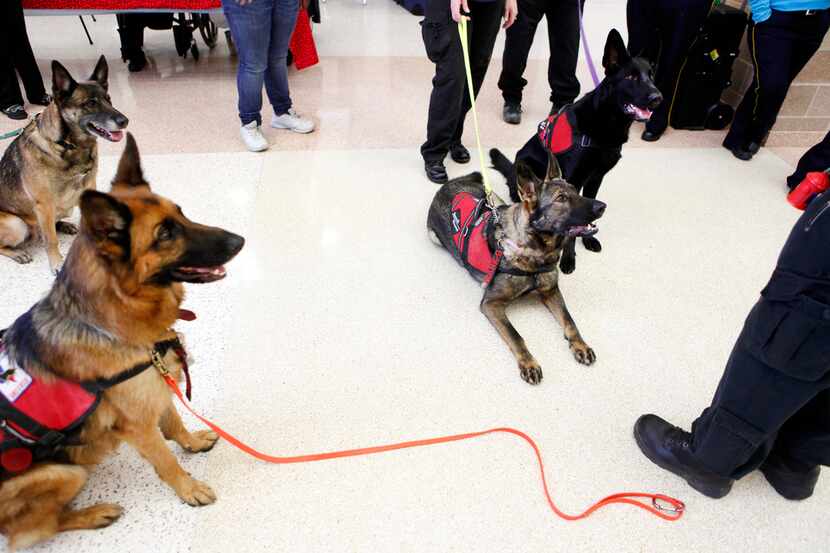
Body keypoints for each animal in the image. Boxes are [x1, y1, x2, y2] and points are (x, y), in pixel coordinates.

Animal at [0, 55, 128, 272]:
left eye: (109, 100)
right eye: (91, 103)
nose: (125, 121)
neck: (67, 145)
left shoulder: (87, 188)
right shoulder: (43, 204)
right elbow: (51, 240)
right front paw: (57, 262)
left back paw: (64, 225)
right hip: (16, 224)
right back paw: (18, 253)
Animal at [0, 135, 244, 552]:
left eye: (181, 214)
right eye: (165, 234)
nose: (240, 240)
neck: (112, 318)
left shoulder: (156, 386)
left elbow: (174, 423)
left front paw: (192, 442)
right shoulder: (137, 426)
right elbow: (165, 460)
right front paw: (189, 489)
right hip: (63, 472)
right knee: (35, 528)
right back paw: (94, 513)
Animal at [428, 151, 604, 384]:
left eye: (577, 191)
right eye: (561, 198)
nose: (602, 206)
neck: (535, 253)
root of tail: (451, 183)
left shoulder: (551, 291)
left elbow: (570, 321)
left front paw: (580, 345)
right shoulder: (491, 304)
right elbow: (516, 336)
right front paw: (529, 363)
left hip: (497, 200)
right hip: (435, 236)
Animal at [494, 28, 664, 274]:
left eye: (651, 77)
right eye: (631, 77)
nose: (658, 98)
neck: (606, 123)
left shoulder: (596, 178)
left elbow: (588, 210)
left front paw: (589, 238)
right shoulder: (573, 178)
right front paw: (569, 257)